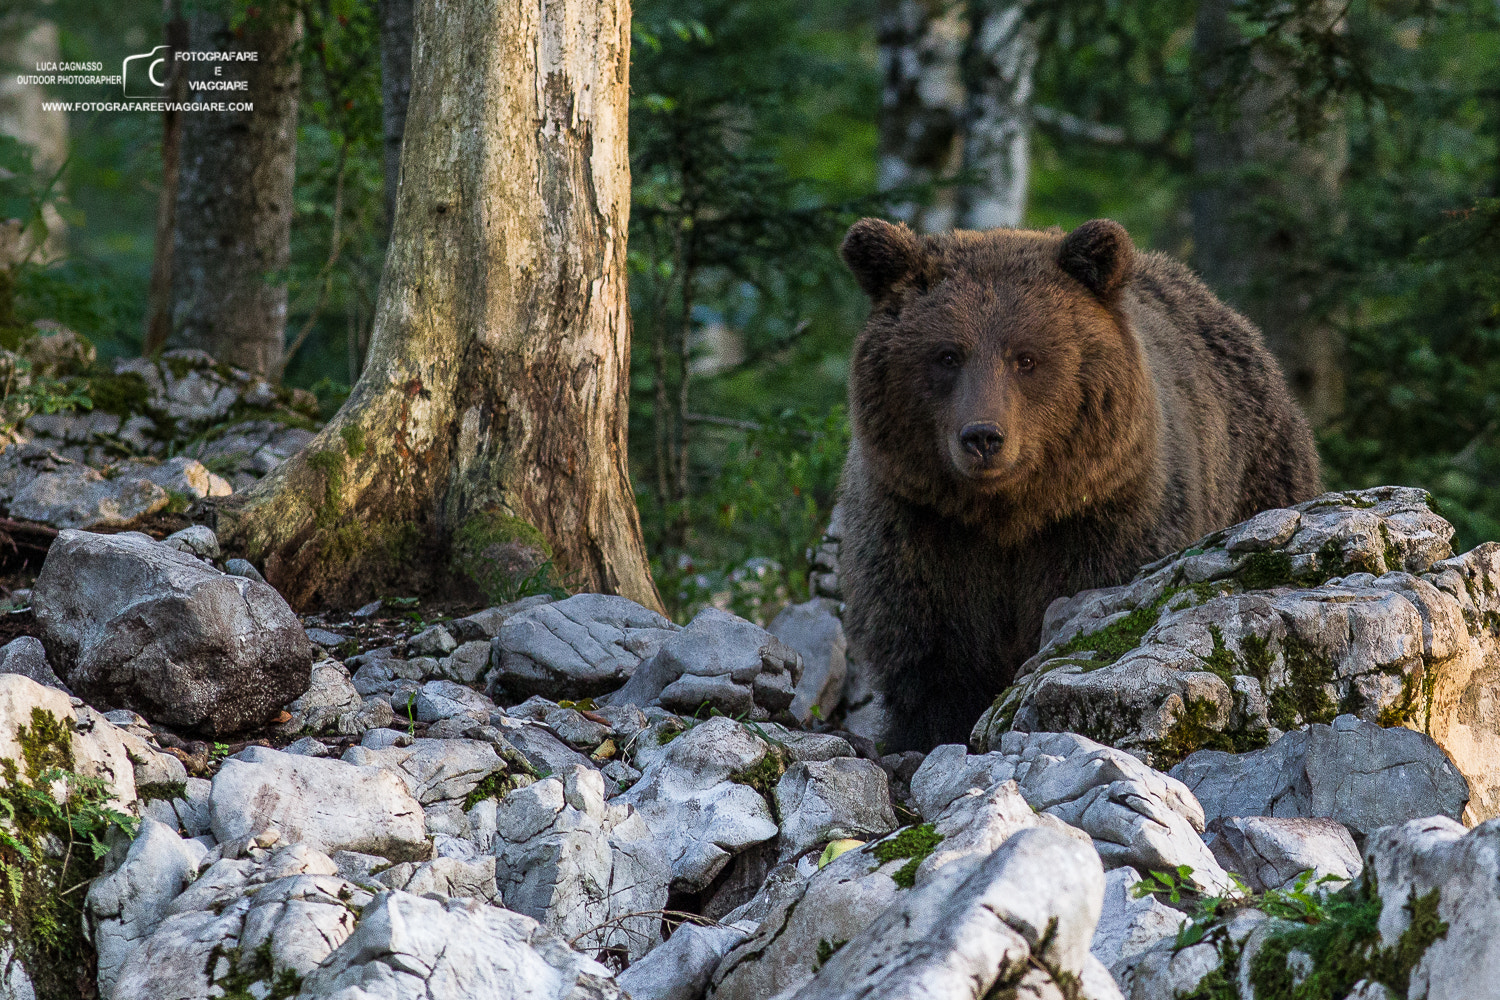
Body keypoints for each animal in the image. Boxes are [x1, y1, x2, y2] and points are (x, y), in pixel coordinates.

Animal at [840, 217, 1320, 749]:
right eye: (947, 355)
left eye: (1026, 358)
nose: (983, 436)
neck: (1007, 514)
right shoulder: (920, 525)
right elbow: (930, 647)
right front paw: (930, 734)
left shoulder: (1104, 515)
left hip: (1259, 471)